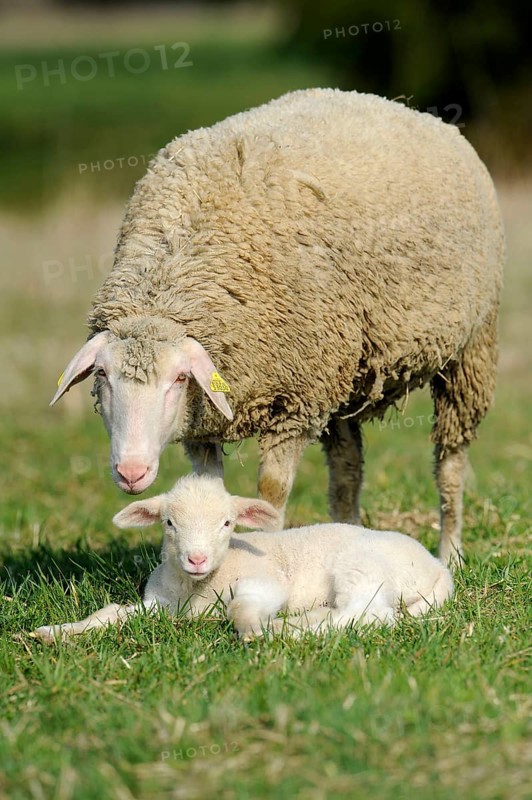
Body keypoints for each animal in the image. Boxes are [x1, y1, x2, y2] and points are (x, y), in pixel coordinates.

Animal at [31, 475, 453, 644]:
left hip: (363, 567)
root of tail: (438, 570)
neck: (196, 589)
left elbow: (239, 609)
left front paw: (253, 631)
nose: (196, 558)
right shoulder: (159, 604)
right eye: (169, 522)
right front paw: (54, 633)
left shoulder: (264, 581)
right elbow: (111, 612)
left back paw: (291, 630)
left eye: (227, 522)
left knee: (365, 615)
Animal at [50, 88, 505, 563]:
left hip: (469, 350)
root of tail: (409, 109)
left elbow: (270, 494)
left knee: (450, 460)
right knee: (347, 467)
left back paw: (450, 551)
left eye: (178, 378)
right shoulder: (210, 419)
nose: (131, 471)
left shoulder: (296, 403)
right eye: (103, 374)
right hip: (343, 370)